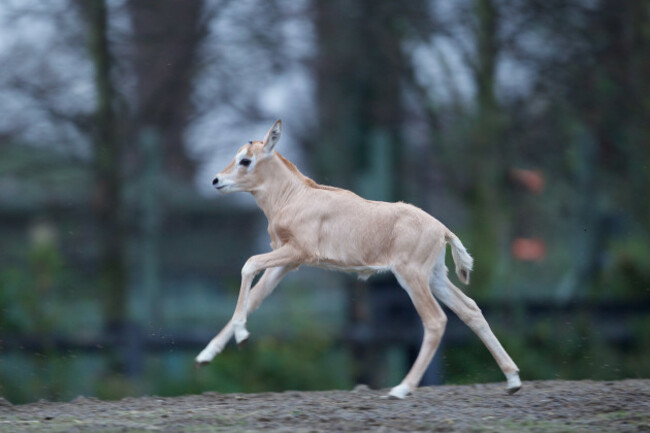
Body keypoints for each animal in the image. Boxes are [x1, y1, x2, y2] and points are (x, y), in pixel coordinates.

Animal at [195, 120, 520, 396]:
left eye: (246, 160)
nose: (216, 180)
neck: (295, 196)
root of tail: (442, 229)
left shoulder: (297, 252)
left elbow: (248, 264)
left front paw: (242, 337)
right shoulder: (287, 263)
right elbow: (255, 299)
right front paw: (205, 355)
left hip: (411, 276)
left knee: (436, 320)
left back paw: (402, 389)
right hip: (435, 277)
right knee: (470, 310)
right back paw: (513, 380)